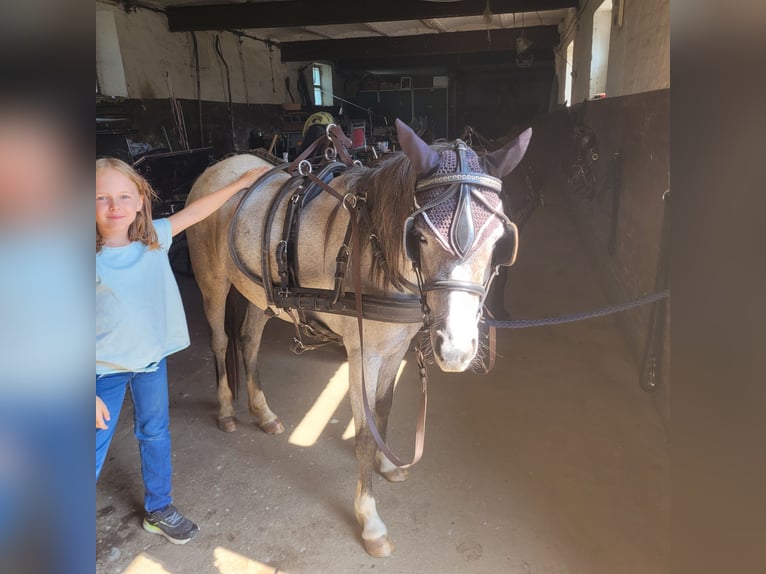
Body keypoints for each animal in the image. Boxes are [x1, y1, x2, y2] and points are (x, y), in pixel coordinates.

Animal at [187, 121, 536, 560]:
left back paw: (263, 413)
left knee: (248, 341)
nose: (456, 349)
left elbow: (384, 409)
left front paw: (386, 467)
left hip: (258, 293)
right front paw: (369, 520)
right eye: (420, 237)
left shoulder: (395, 349)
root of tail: (221, 167)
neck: (375, 250)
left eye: (498, 243)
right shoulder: (362, 356)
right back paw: (226, 411)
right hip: (212, 281)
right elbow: (365, 432)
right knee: (220, 341)